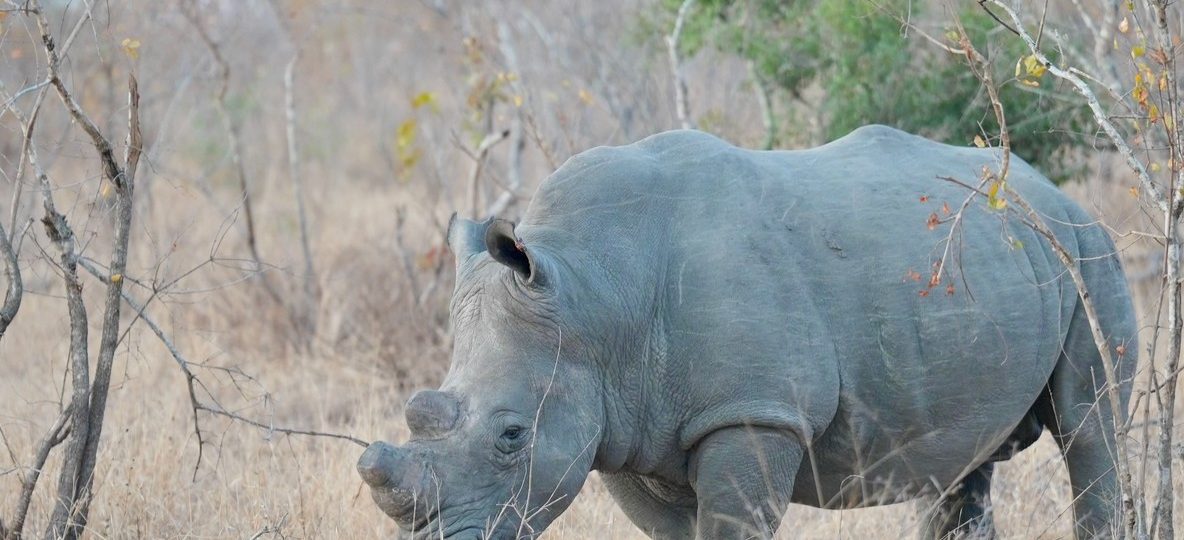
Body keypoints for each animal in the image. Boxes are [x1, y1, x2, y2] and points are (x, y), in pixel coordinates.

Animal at [358, 126, 1136, 539]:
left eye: (512, 436)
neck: (592, 291)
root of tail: (1047, 189)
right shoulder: (627, 426)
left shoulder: (754, 413)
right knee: (965, 460)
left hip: (1089, 252)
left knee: (1090, 429)